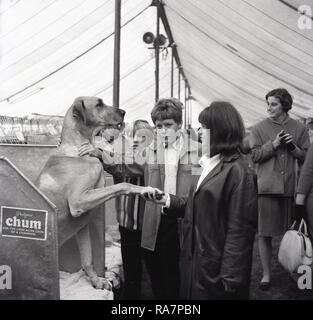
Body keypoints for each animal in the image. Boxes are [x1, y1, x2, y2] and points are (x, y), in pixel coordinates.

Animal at [34, 96, 141, 288]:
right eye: (99, 104)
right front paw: (148, 190)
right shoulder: (78, 202)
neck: (77, 150)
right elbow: (121, 186)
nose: (123, 112)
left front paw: (96, 280)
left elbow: (87, 258)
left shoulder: (81, 223)